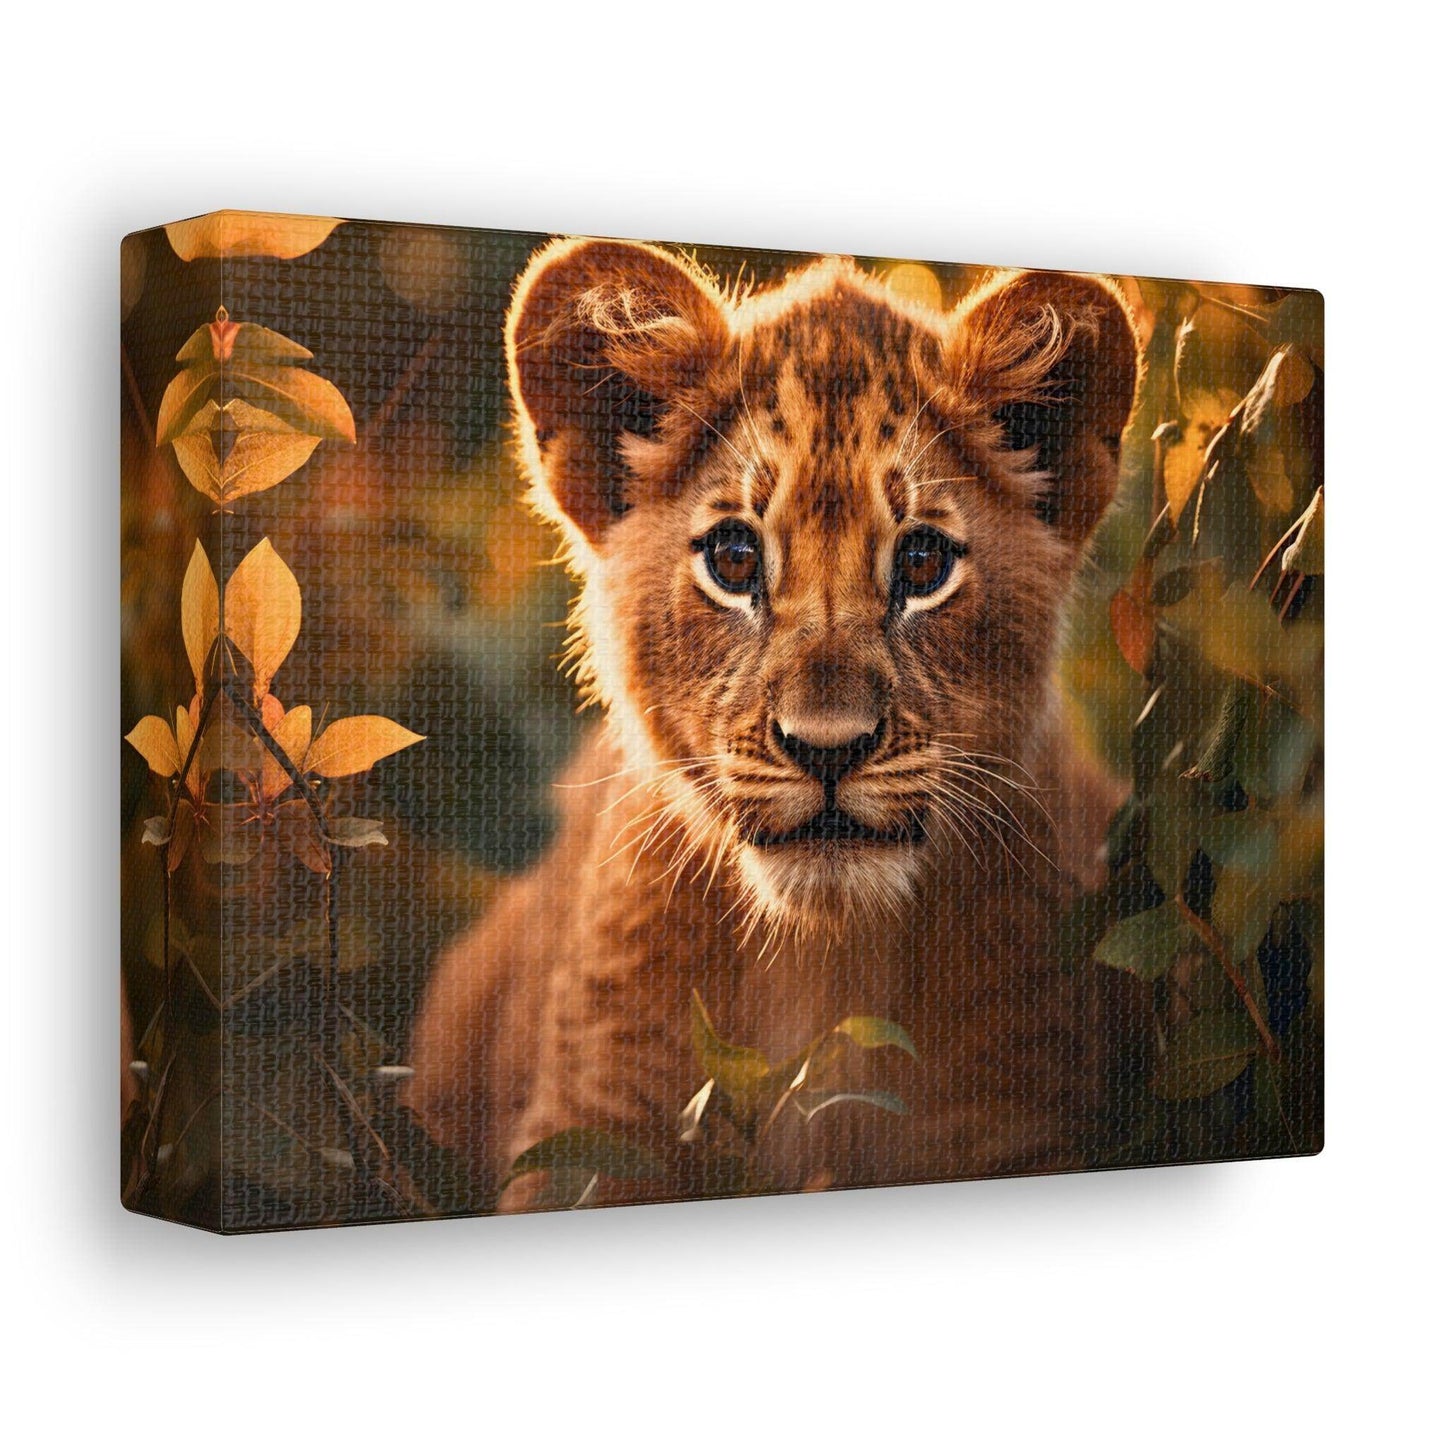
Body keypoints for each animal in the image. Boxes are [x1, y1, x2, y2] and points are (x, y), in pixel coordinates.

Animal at [405, 237, 1143, 1211]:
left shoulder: (1014, 1130)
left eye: (922, 561)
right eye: (733, 558)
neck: (823, 960)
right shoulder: (590, 1139)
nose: (827, 748)